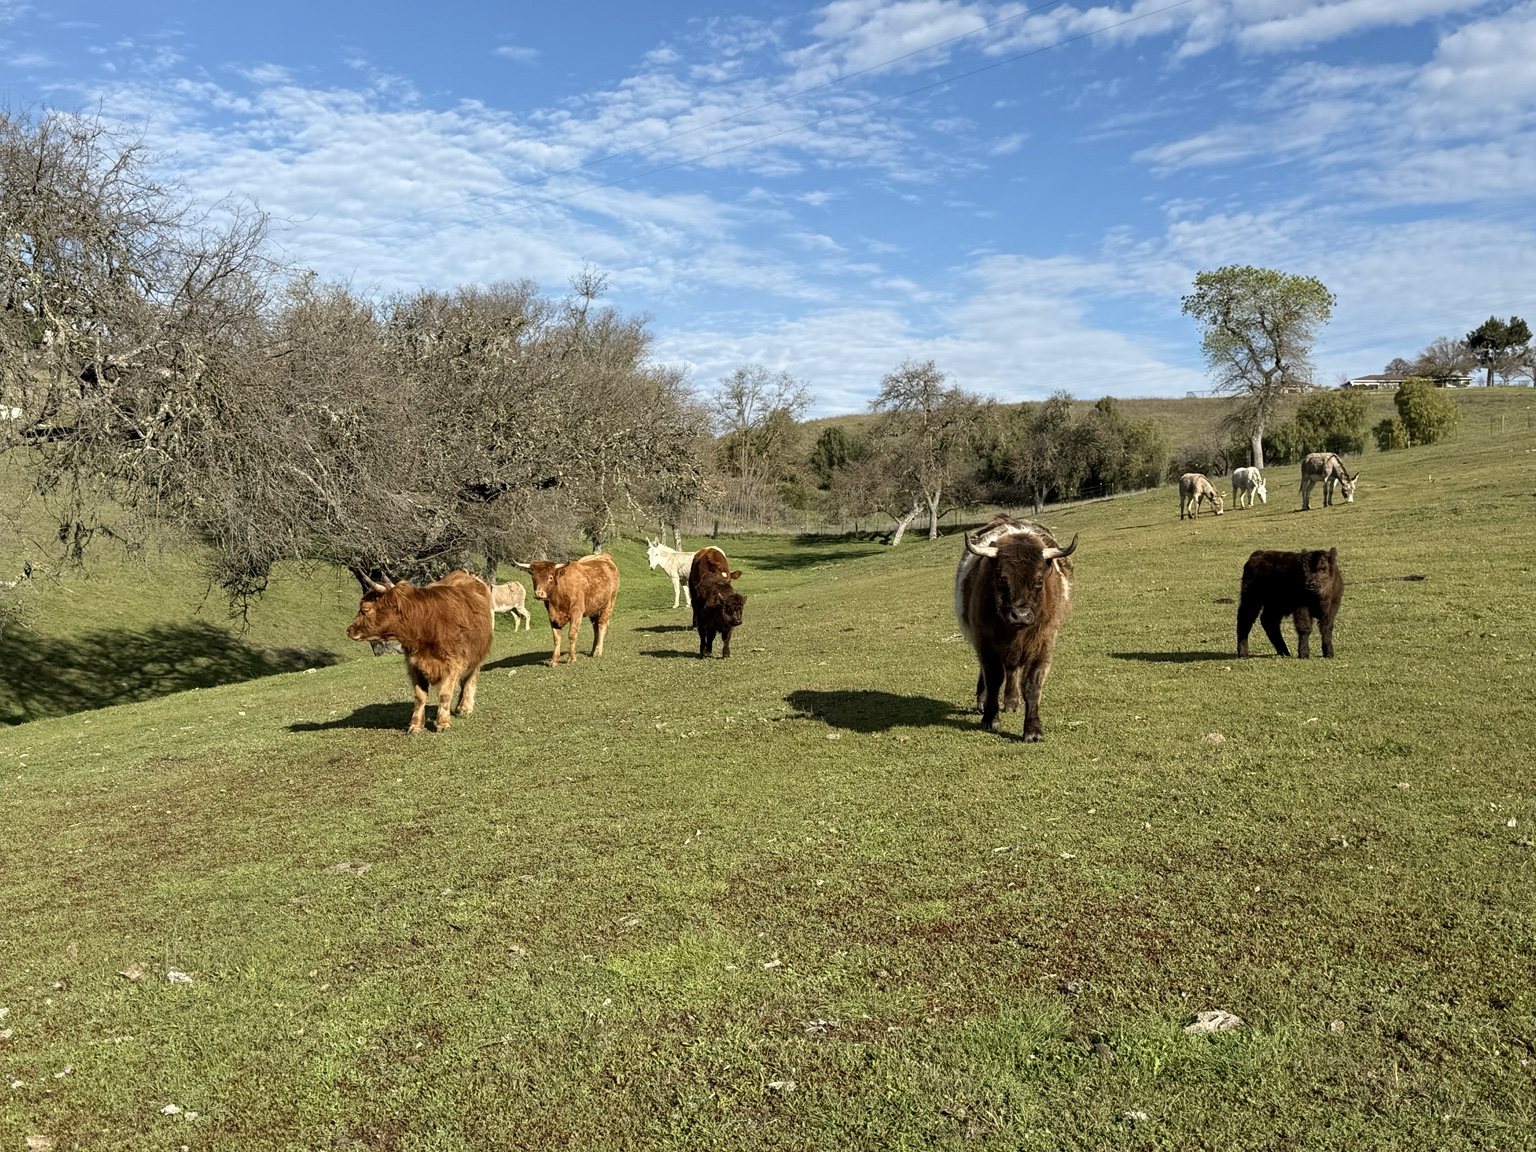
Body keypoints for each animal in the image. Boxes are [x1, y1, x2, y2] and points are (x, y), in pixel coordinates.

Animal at [346, 569, 494, 734]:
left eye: (365, 609)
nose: (349, 630)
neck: (425, 624)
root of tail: (464, 573)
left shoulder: (453, 662)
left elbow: (445, 694)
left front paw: (443, 723)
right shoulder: (414, 665)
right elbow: (420, 696)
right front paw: (416, 725)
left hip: (477, 654)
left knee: (469, 678)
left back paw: (465, 707)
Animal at [954, 516, 1078, 741]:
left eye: (1039, 580)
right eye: (1002, 579)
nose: (1020, 616)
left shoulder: (1043, 643)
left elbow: (1032, 684)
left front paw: (1033, 729)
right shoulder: (985, 642)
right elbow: (993, 678)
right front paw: (989, 717)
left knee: (1012, 670)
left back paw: (1012, 702)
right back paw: (983, 700)